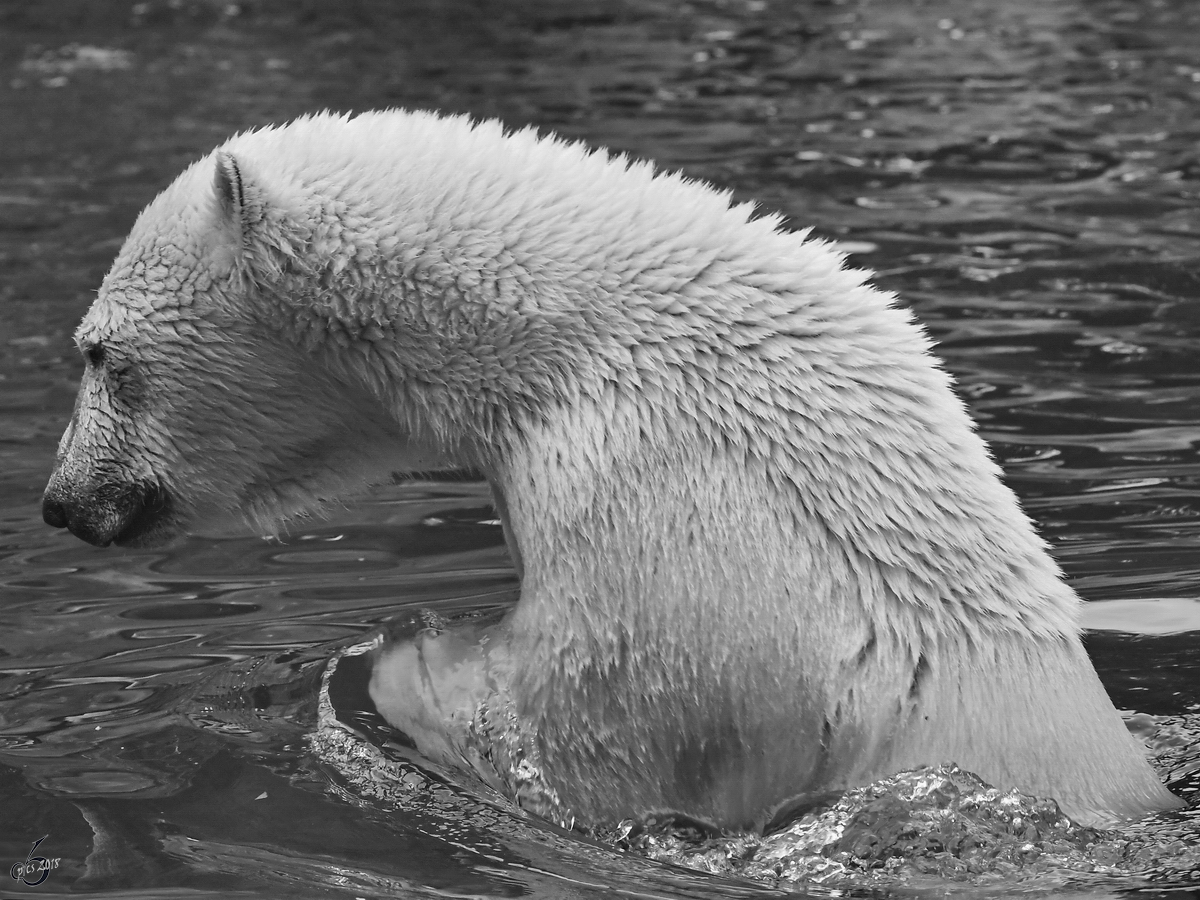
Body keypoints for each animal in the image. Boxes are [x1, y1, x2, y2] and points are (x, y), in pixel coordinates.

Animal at [44, 111, 1180, 830]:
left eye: (100, 354)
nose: (61, 502)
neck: (569, 336)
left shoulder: (654, 486)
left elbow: (598, 716)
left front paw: (404, 654)